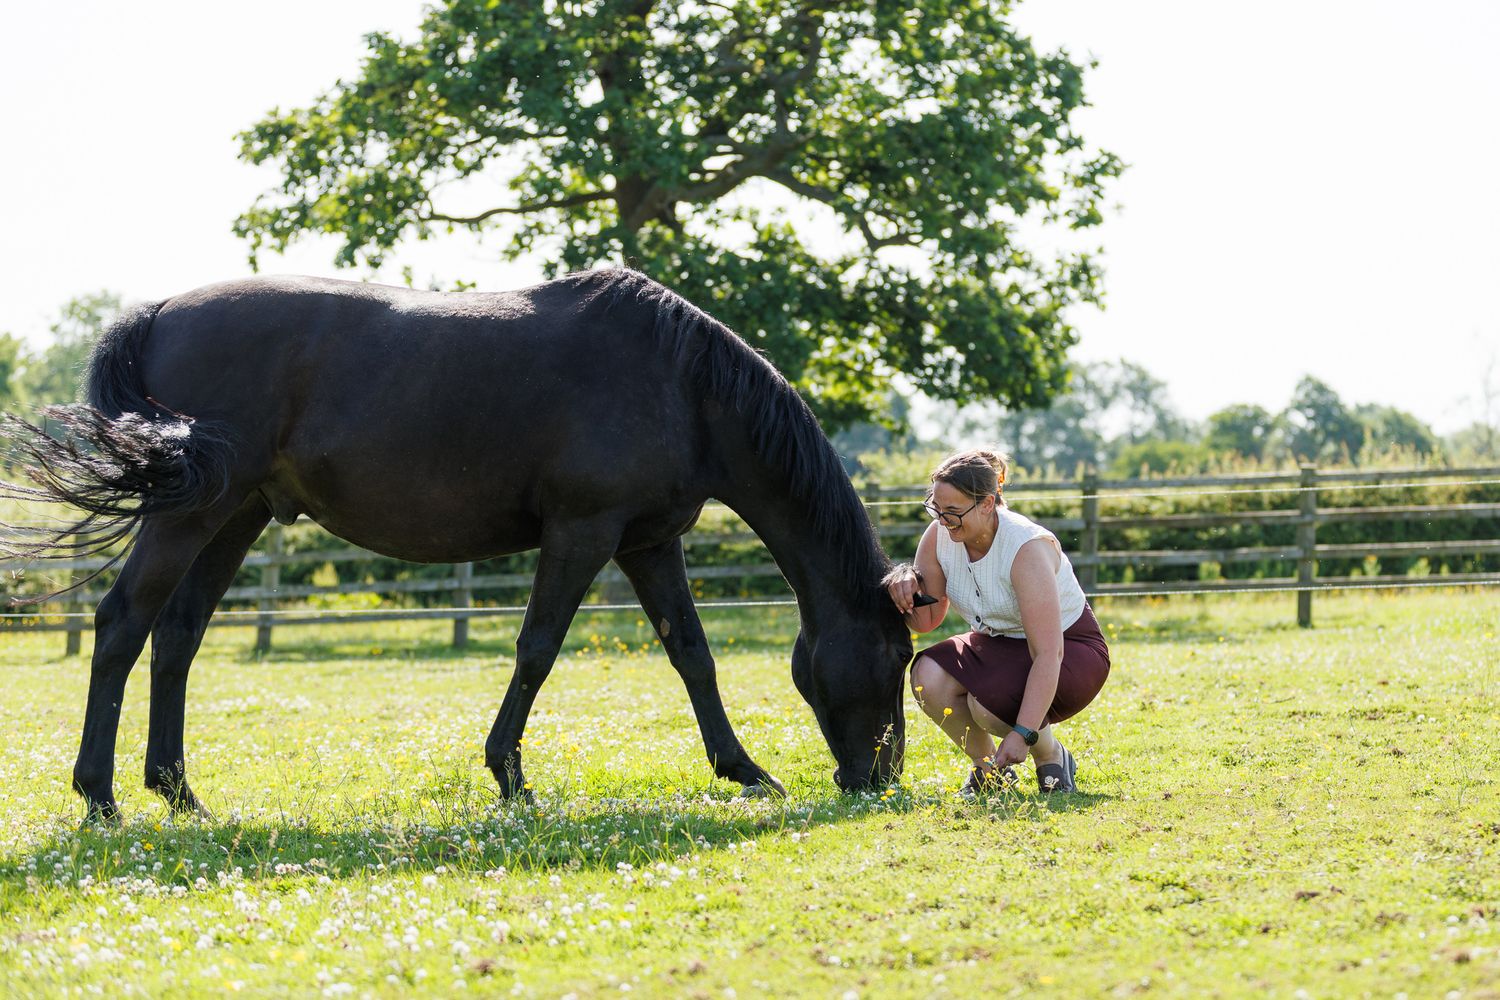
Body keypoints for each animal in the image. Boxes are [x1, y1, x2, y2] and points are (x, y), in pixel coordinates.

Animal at [1, 269, 914, 822]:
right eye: (898, 655)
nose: (880, 775)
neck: (680, 384)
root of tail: (159, 312)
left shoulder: (649, 543)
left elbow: (692, 654)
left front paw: (743, 769)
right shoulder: (583, 533)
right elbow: (538, 648)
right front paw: (509, 776)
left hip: (236, 515)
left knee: (178, 636)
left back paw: (179, 793)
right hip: (194, 513)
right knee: (123, 624)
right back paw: (100, 798)